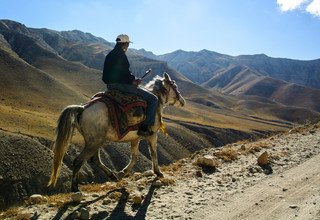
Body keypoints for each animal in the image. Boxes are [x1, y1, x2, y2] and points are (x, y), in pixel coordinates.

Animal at [47, 73, 185, 192]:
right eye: (175, 86)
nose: (182, 101)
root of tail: (83, 108)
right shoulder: (152, 135)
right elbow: (153, 154)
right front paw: (159, 173)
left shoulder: (135, 139)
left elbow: (134, 158)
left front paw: (122, 173)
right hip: (95, 142)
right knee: (79, 161)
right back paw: (75, 188)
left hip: (94, 142)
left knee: (95, 159)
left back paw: (112, 176)